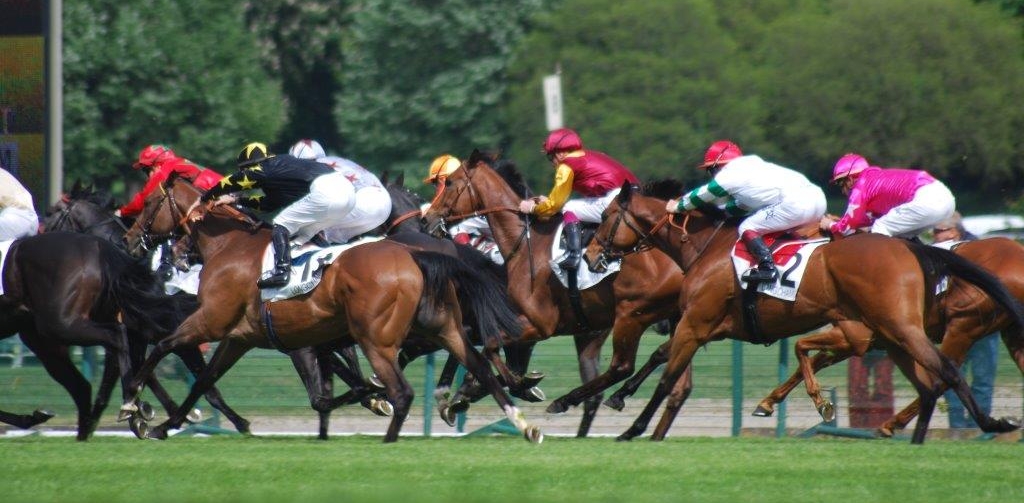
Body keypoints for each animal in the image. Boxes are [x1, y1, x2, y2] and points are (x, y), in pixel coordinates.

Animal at [0, 233, 193, 440]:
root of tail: (100, 247)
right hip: (50, 335)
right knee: (86, 382)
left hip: (57, 325)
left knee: (115, 338)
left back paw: (129, 410)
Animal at [121, 178, 544, 444]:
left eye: (150, 202)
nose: (130, 239)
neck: (228, 245)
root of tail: (416, 255)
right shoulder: (240, 337)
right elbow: (205, 381)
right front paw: (164, 425)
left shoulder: (213, 322)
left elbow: (164, 347)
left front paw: (133, 407)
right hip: (442, 328)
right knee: (479, 367)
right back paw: (520, 421)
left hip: (376, 338)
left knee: (405, 390)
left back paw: (393, 435)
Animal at [415, 150, 688, 428]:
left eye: (449, 183)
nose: (426, 219)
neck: (524, 242)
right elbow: (493, 354)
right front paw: (470, 393)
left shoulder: (539, 325)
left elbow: (492, 348)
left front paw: (517, 385)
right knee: (664, 356)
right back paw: (616, 399)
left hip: (631, 315)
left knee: (622, 367)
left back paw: (573, 400)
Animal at [753, 236, 1024, 436]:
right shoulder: (857, 339)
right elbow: (812, 362)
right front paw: (768, 402)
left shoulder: (856, 335)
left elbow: (809, 357)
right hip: (1009, 334)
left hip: (961, 327)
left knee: (942, 377)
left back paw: (891, 424)